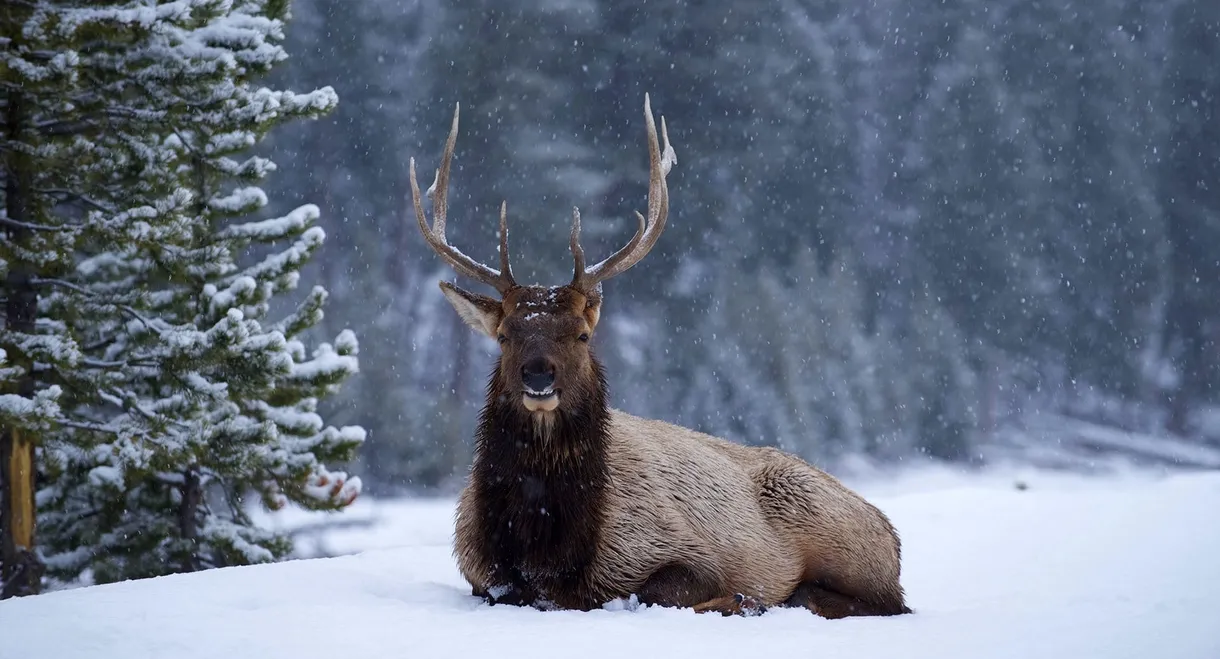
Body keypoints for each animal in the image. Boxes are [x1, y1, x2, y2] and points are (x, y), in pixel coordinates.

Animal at [409, 95, 907, 619]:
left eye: (582, 334)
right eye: (504, 335)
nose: (538, 376)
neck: (547, 550)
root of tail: (891, 535)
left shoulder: (677, 545)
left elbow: (659, 591)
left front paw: (740, 598)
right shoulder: (478, 569)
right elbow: (498, 589)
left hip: (836, 535)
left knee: (867, 600)